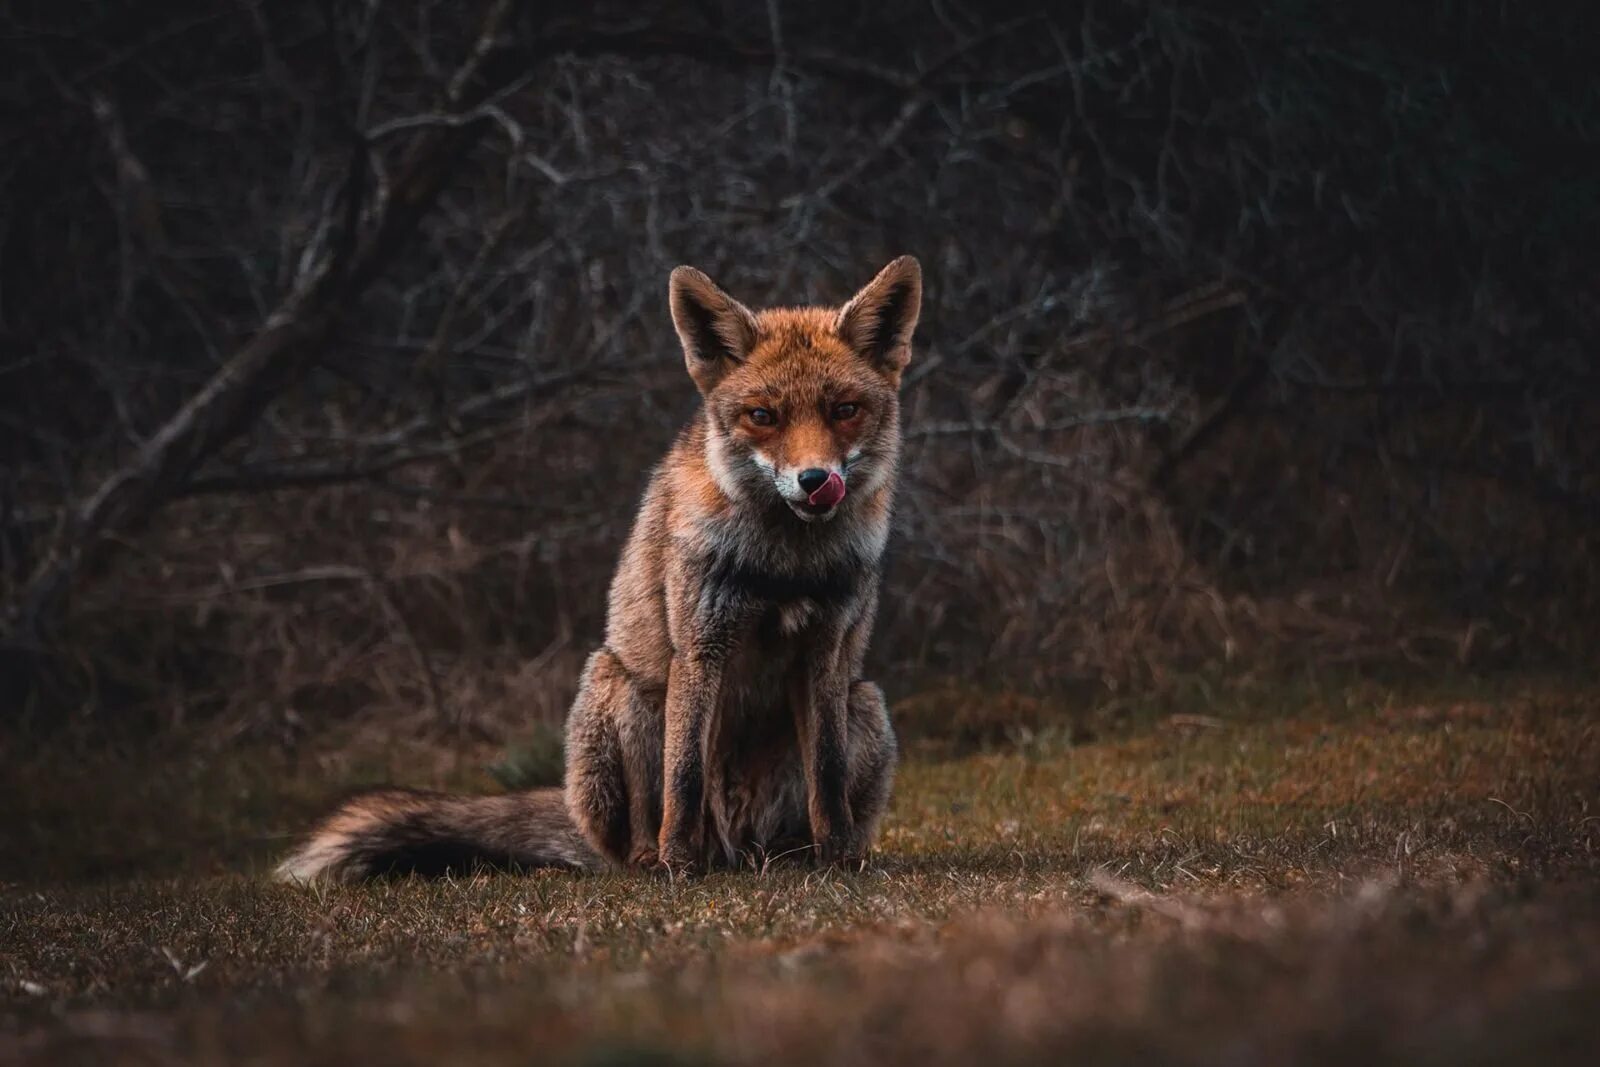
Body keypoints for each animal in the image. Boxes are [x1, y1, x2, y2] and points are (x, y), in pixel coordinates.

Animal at [276, 255, 923, 881]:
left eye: (844, 410)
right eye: (763, 416)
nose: (815, 480)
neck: (785, 566)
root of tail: (741, 849)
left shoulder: (825, 651)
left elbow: (827, 776)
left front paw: (840, 861)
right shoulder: (702, 645)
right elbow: (684, 777)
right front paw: (679, 868)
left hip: (865, 702)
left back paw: (801, 855)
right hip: (624, 689)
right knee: (647, 823)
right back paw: (657, 861)